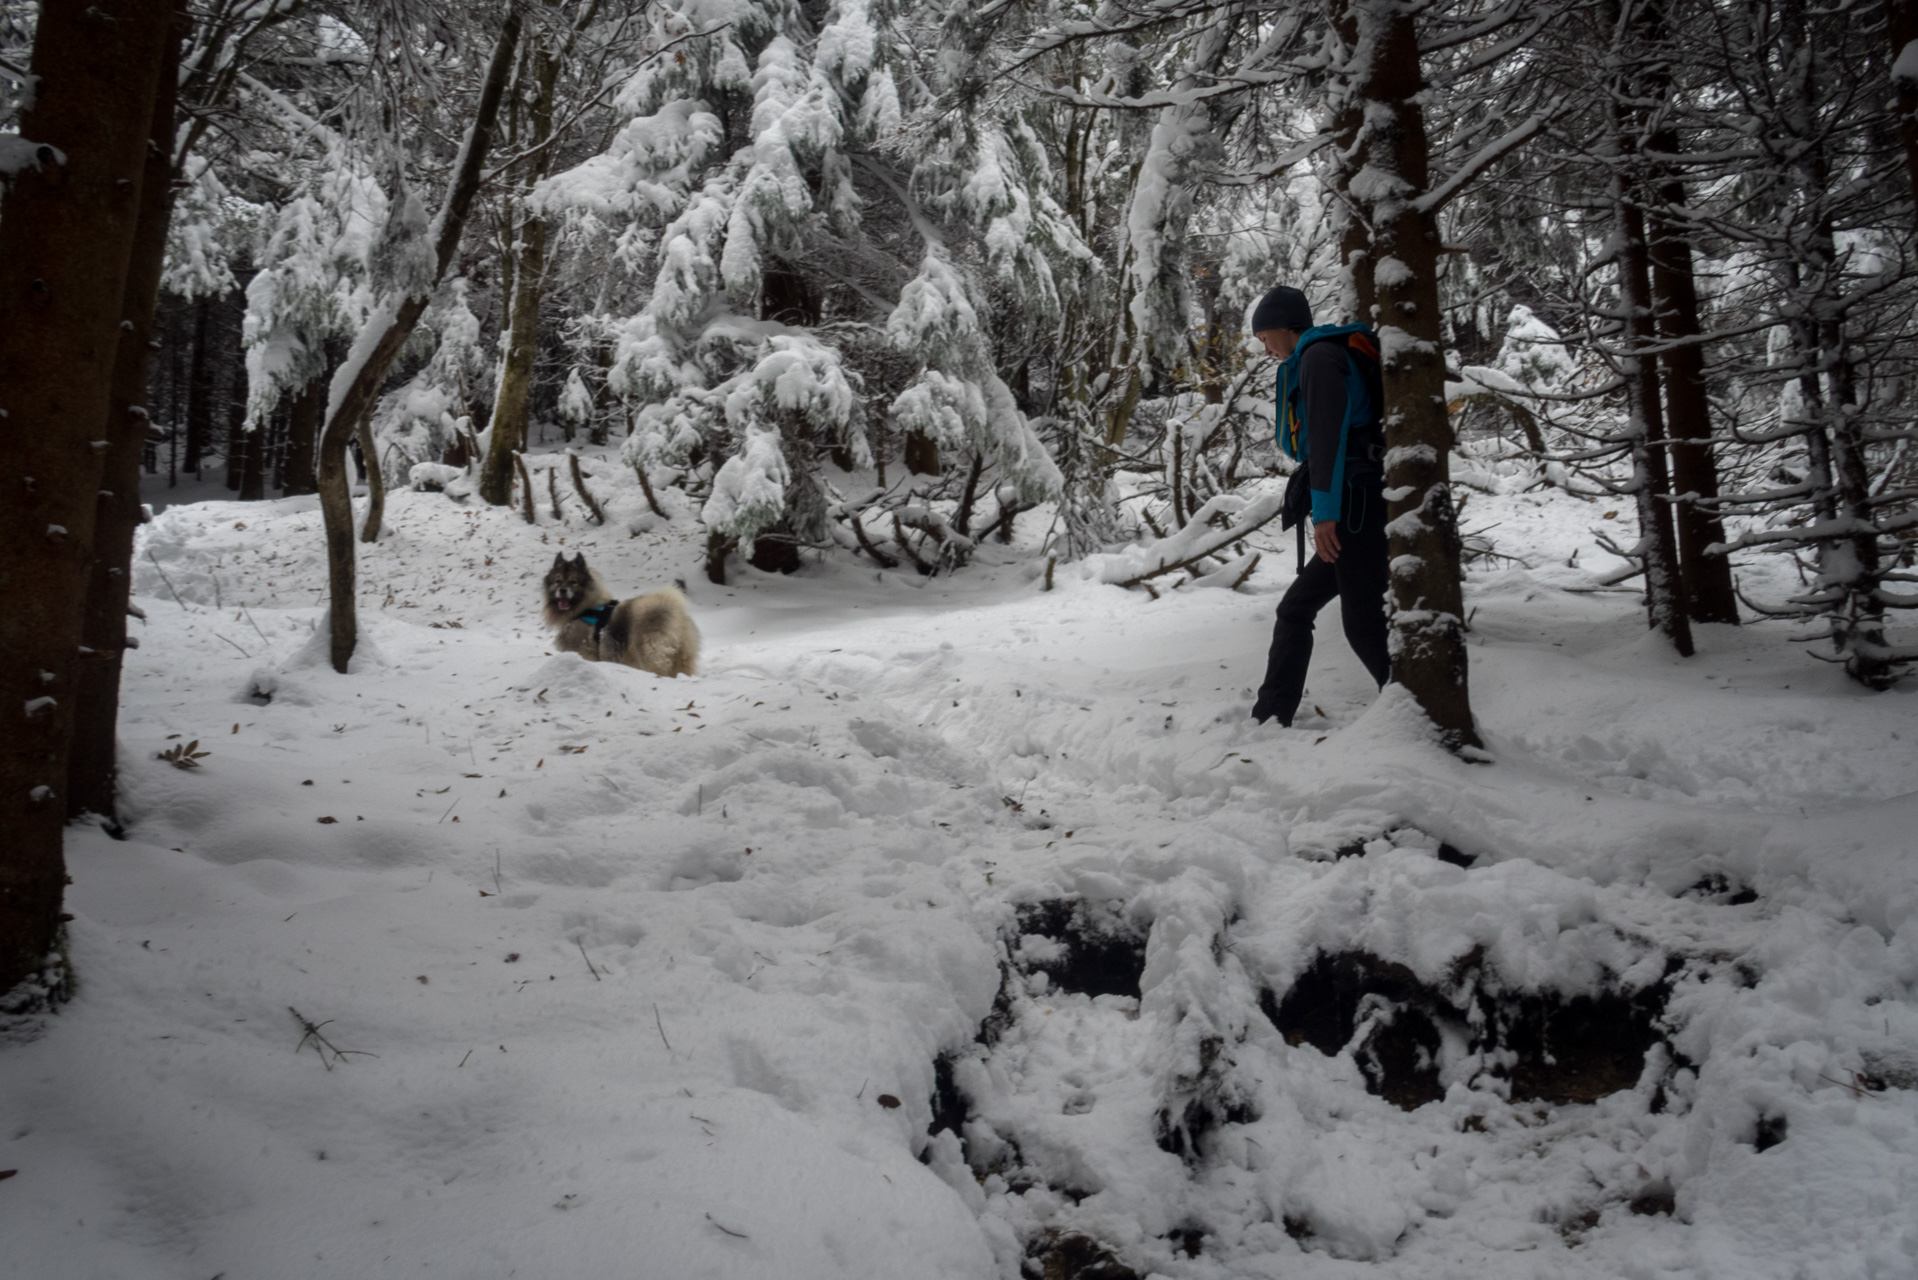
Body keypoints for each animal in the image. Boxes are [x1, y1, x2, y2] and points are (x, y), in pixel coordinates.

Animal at [544, 556, 701, 687]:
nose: (562, 590)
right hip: (682, 657)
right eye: (557, 580)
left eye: (573, 581)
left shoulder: (585, 652)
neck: (586, 607)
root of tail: (674, 611)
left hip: (651, 654)